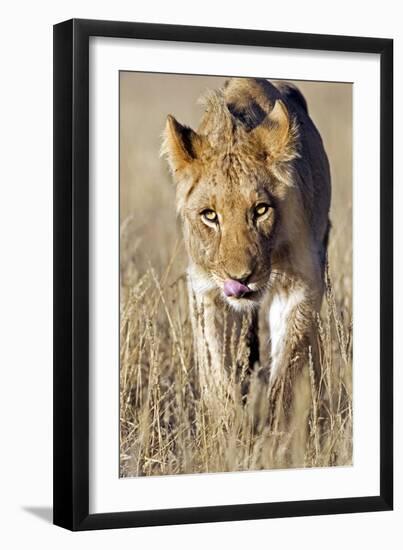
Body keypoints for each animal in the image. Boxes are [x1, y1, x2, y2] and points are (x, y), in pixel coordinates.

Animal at [163, 77, 332, 414]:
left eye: (261, 210)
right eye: (210, 215)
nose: (241, 279)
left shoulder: (301, 280)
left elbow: (289, 363)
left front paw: (276, 423)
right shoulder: (205, 288)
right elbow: (215, 367)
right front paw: (228, 421)